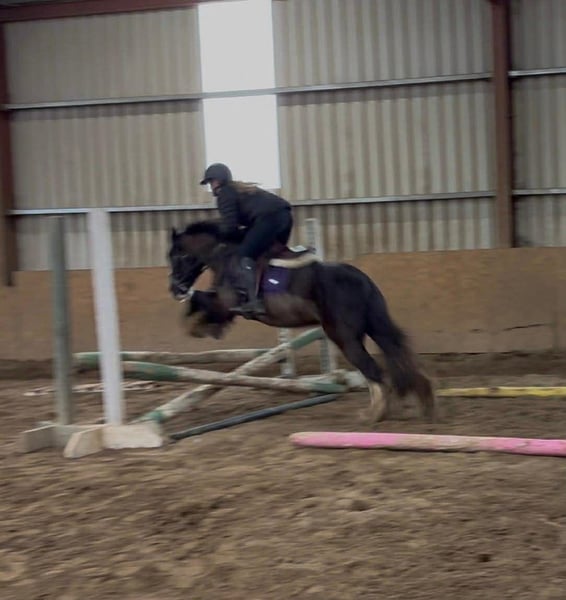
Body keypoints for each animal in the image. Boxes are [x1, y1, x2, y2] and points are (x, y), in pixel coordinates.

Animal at [167, 220, 436, 423]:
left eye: (177, 256)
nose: (175, 289)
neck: (226, 256)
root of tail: (362, 280)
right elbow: (201, 301)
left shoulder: (226, 304)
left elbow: (202, 300)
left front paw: (196, 326)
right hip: (373, 328)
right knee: (395, 356)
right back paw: (423, 403)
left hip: (343, 336)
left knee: (372, 370)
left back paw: (373, 414)